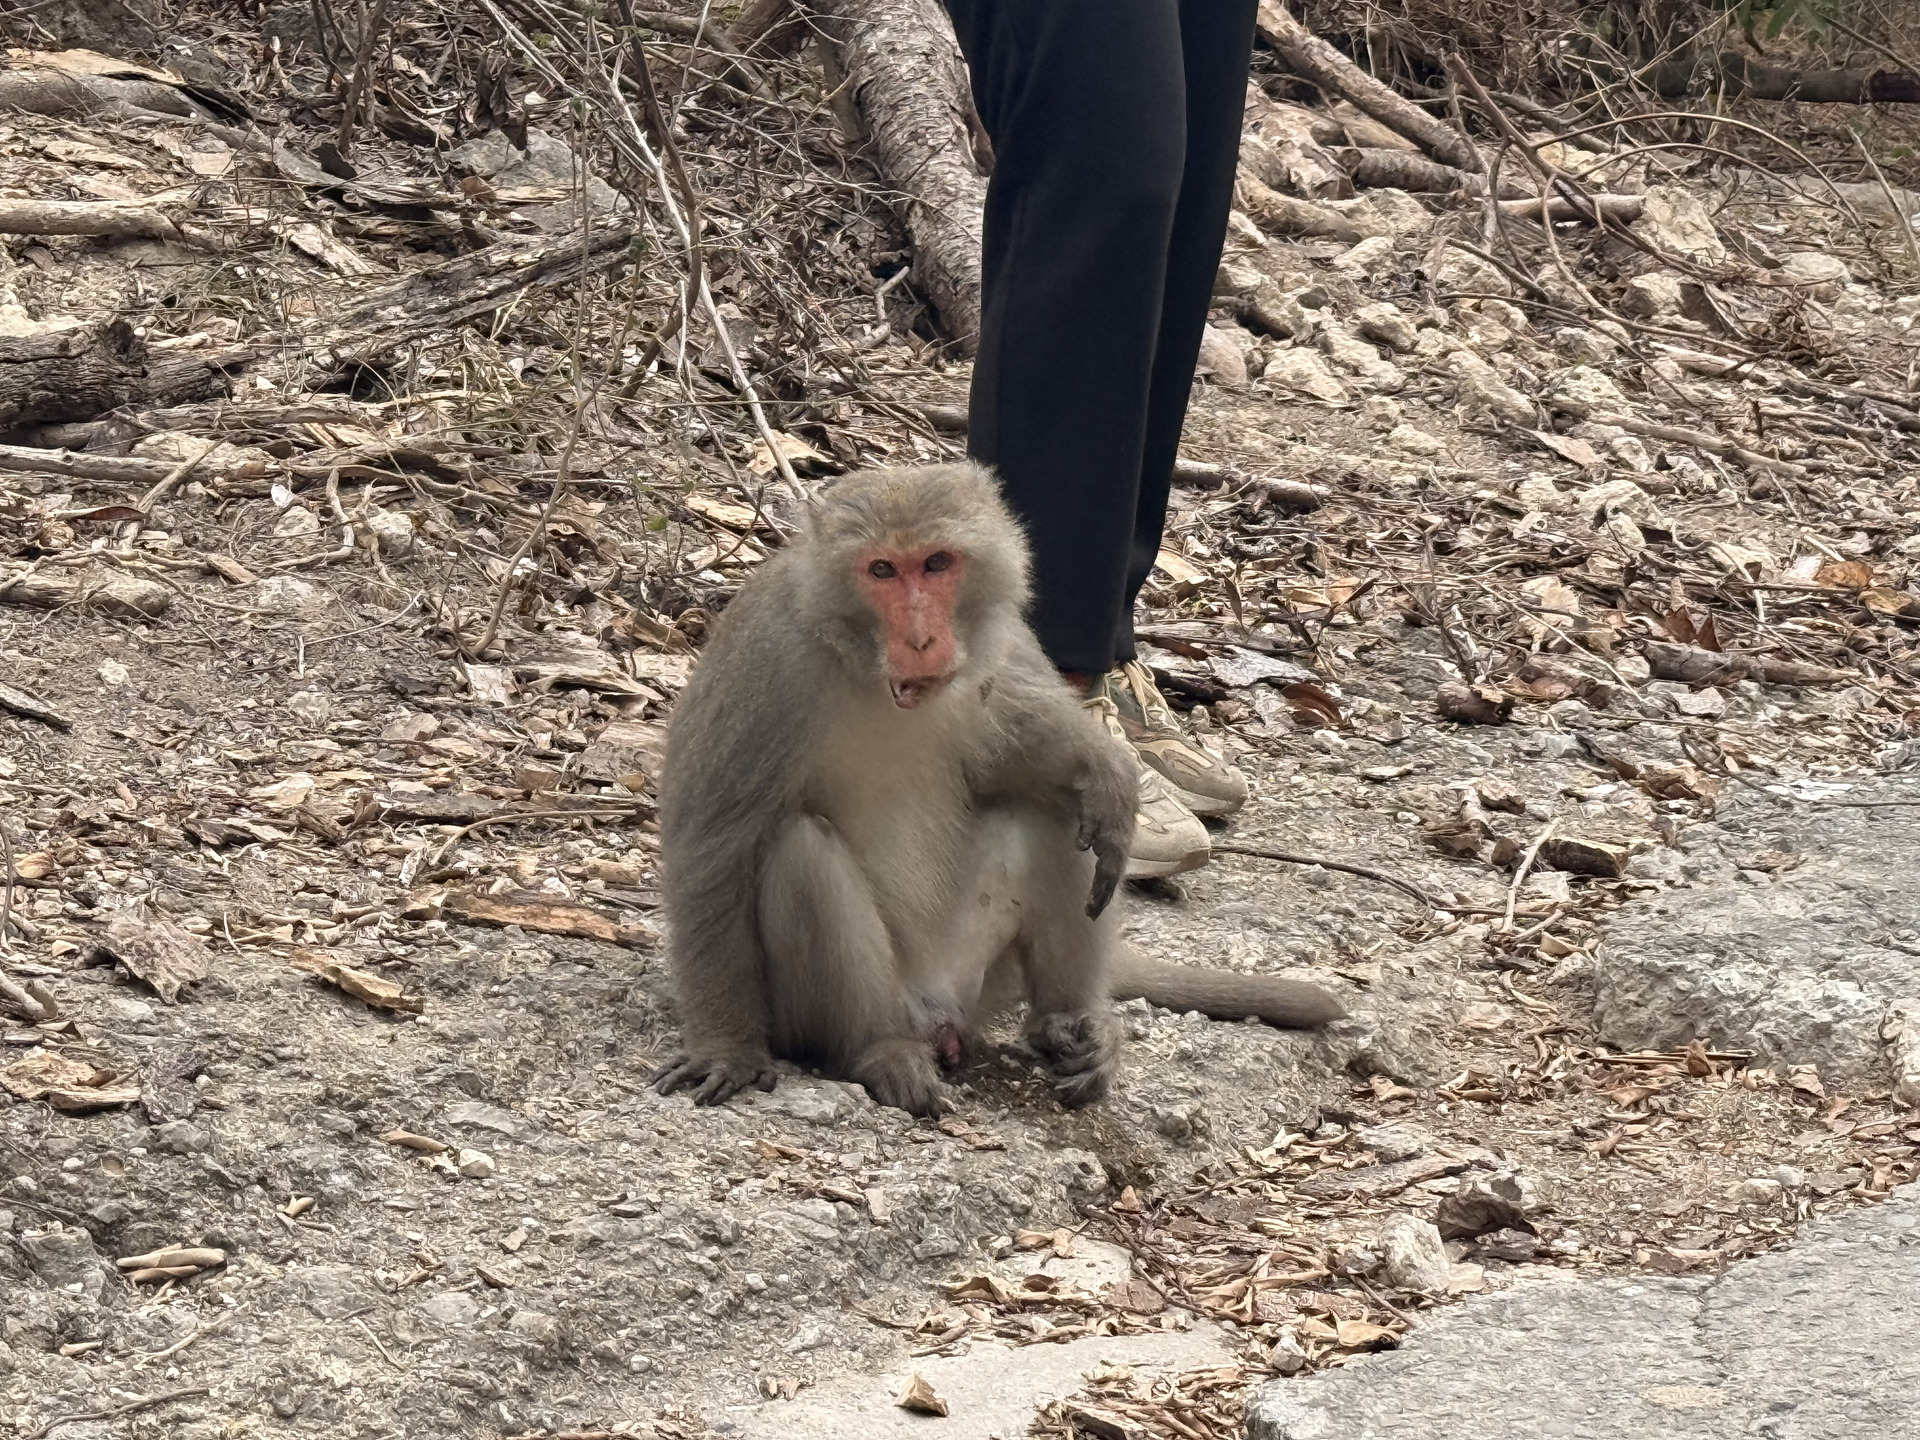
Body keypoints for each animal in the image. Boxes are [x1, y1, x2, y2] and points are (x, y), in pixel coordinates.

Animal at [652, 462, 1345, 1117]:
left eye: (936, 563)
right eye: (881, 570)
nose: (922, 639)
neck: (864, 664)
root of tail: (938, 1011)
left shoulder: (1001, 636)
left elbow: (1023, 762)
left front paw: (1104, 768)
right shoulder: (766, 663)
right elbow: (714, 847)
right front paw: (728, 1049)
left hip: (980, 975)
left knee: (1059, 816)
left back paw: (1069, 1021)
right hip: (837, 1004)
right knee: (801, 851)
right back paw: (880, 1051)